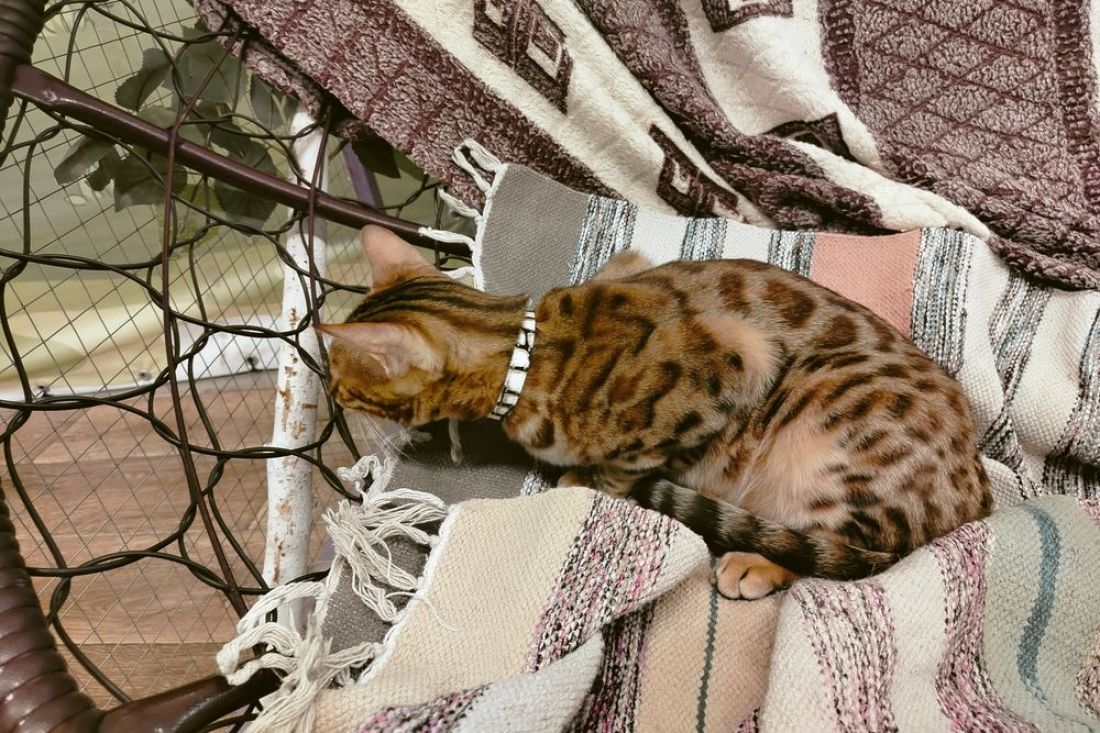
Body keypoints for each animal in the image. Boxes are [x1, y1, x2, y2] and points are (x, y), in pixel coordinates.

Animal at [318, 225, 992, 600]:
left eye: (341, 381)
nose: (327, 390)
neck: (525, 352)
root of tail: (979, 490)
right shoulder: (632, 261)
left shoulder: (734, 357)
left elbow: (625, 463)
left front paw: (585, 476)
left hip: (824, 438)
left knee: (845, 549)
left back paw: (756, 561)